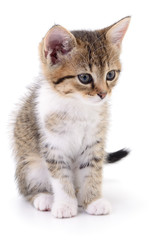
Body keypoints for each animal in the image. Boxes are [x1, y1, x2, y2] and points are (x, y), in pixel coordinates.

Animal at [13, 16, 131, 218]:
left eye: (110, 75)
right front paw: (65, 205)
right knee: (27, 187)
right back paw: (44, 198)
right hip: (29, 164)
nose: (103, 94)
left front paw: (93, 200)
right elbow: (60, 177)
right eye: (84, 78)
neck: (78, 106)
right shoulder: (53, 146)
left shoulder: (94, 143)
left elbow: (92, 171)